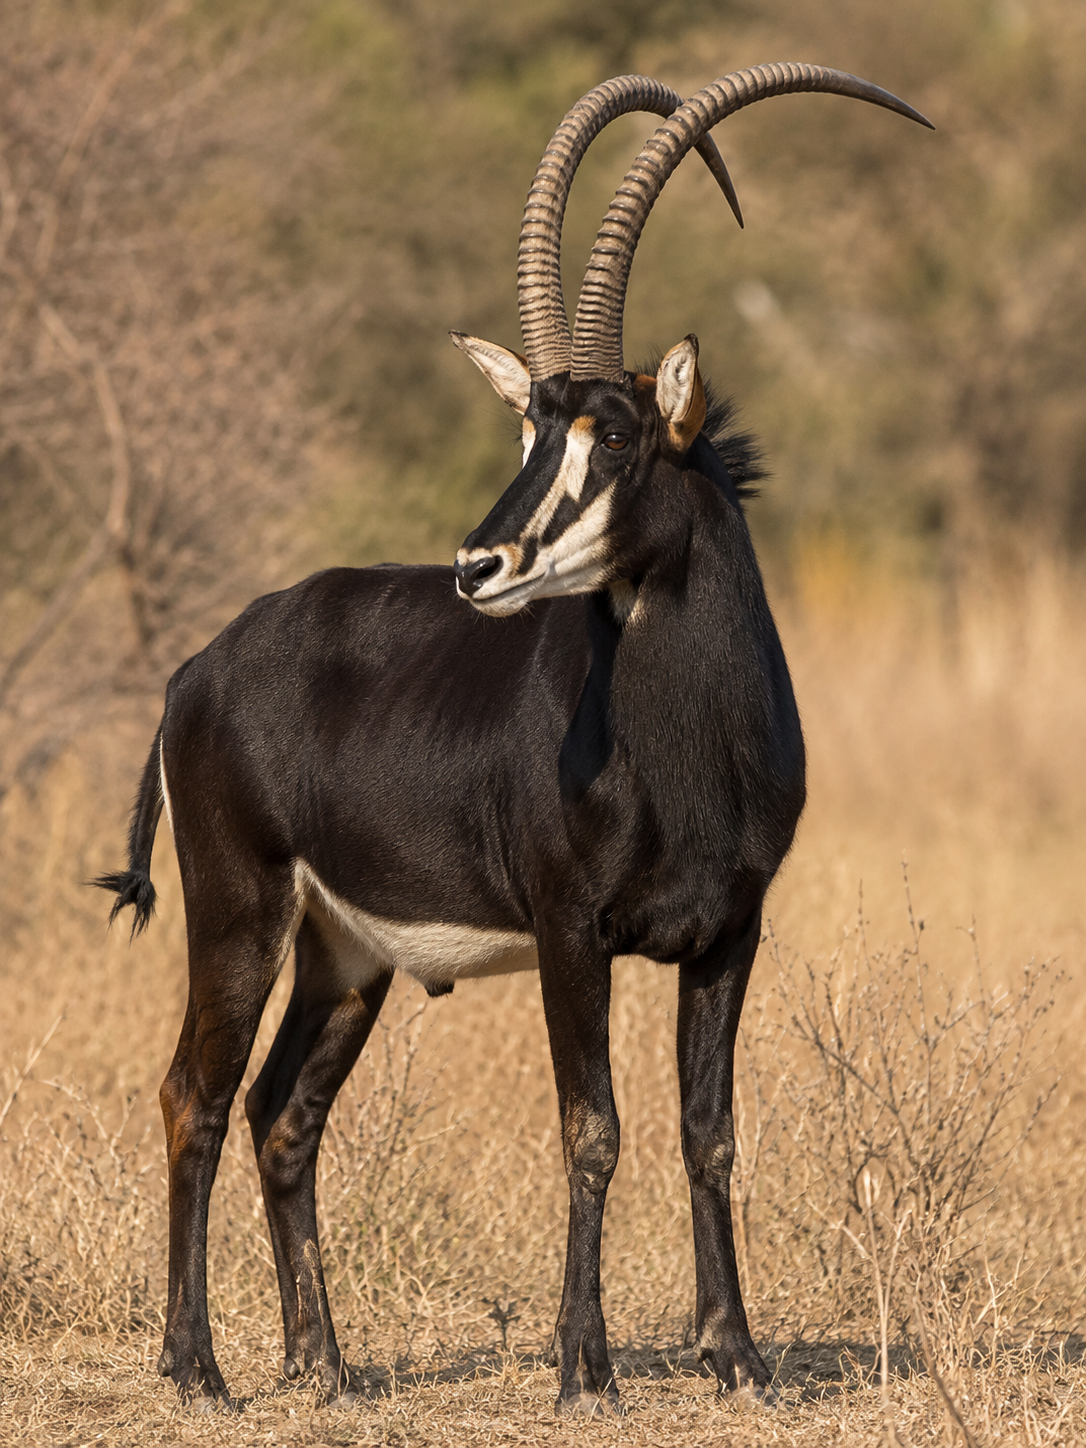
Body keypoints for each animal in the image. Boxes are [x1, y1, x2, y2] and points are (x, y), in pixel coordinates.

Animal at [98, 65, 931, 1416]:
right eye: (529, 430)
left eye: (617, 434)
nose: (479, 563)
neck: (686, 748)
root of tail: (194, 669)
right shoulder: (570, 931)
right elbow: (593, 1127)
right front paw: (584, 1363)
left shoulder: (731, 933)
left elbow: (710, 1131)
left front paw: (736, 1353)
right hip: (239, 915)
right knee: (196, 1097)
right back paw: (199, 1367)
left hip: (346, 957)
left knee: (283, 1112)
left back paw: (324, 1363)